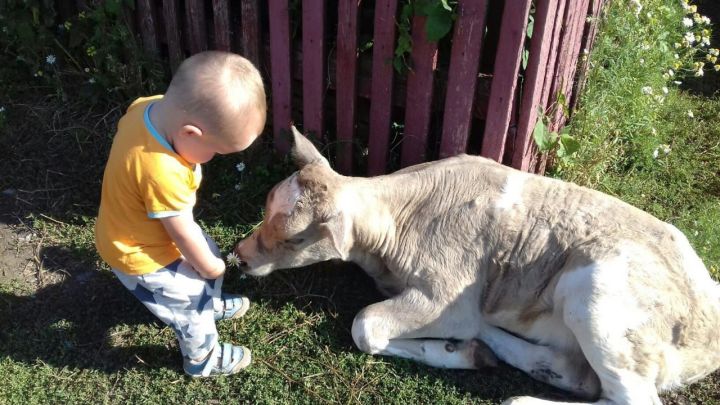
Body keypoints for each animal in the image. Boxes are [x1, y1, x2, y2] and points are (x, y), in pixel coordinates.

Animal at [233, 127, 716, 404]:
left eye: (294, 238)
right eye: (266, 207)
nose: (241, 253)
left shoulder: (445, 291)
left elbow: (365, 326)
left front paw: (450, 348)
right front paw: (462, 350)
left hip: (600, 299)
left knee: (628, 398)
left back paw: (516, 394)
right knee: (580, 376)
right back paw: (487, 347)